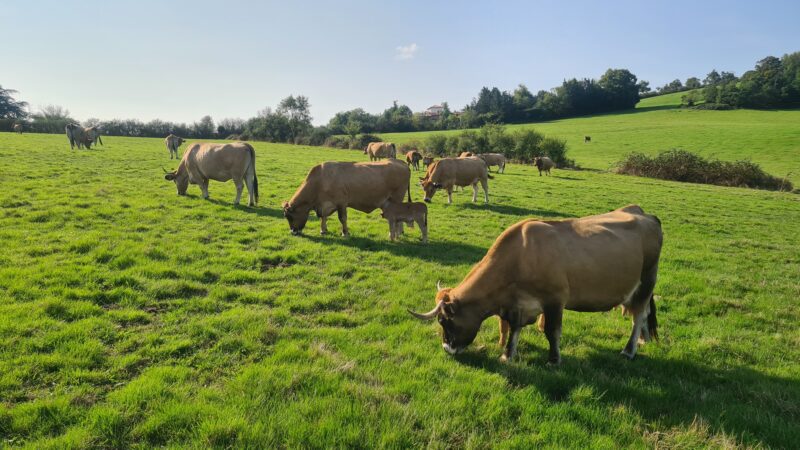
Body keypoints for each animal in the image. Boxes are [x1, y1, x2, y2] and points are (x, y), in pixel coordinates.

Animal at [409, 204, 663, 364]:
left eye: (445, 321)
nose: (447, 348)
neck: (520, 256)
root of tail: (647, 216)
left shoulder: (555, 300)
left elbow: (552, 331)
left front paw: (553, 359)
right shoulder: (517, 305)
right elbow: (513, 329)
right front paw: (507, 355)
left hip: (647, 281)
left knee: (638, 315)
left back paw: (629, 350)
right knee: (643, 313)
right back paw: (643, 340)